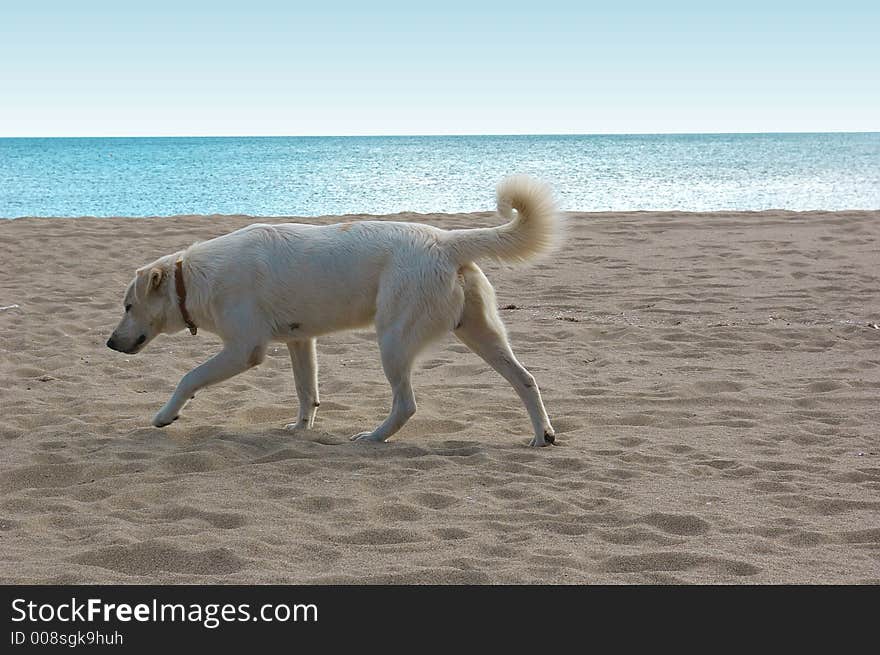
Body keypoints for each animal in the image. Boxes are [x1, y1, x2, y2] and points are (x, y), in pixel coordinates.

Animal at [108, 177, 564, 448]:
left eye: (129, 306)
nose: (110, 343)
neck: (192, 278)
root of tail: (446, 241)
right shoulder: (299, 340)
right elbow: (306, 392)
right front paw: (299, 430)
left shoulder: (243, 350)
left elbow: (189, 378)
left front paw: (165, 416)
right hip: (480, 333)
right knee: (526, 380)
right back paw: (543, 435)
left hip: (393, 341)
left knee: (406, 404)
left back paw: (374, 437)